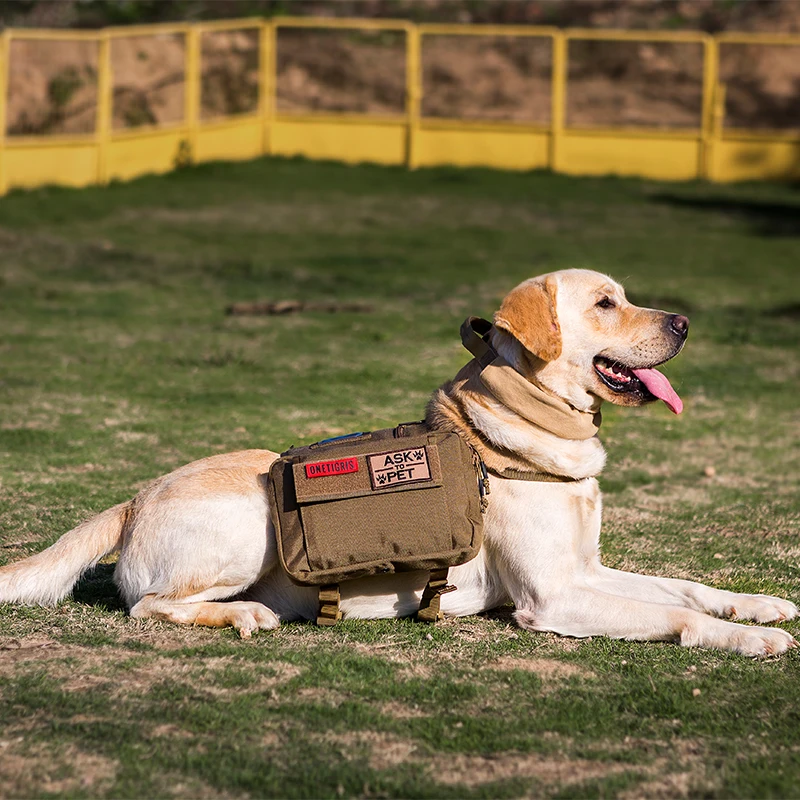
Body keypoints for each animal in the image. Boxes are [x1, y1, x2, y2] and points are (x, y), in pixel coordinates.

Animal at [3, 268, 796, 656]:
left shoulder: (587, 569)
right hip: (249, 522)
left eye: (625, 298)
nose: (685, 323)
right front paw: (749, 638)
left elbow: (685, 587)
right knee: (148, 606)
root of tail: (133, 499)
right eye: (606, 304)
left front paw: (756, 605)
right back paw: (245, 616)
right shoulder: (554, 596)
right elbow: (676, 617)